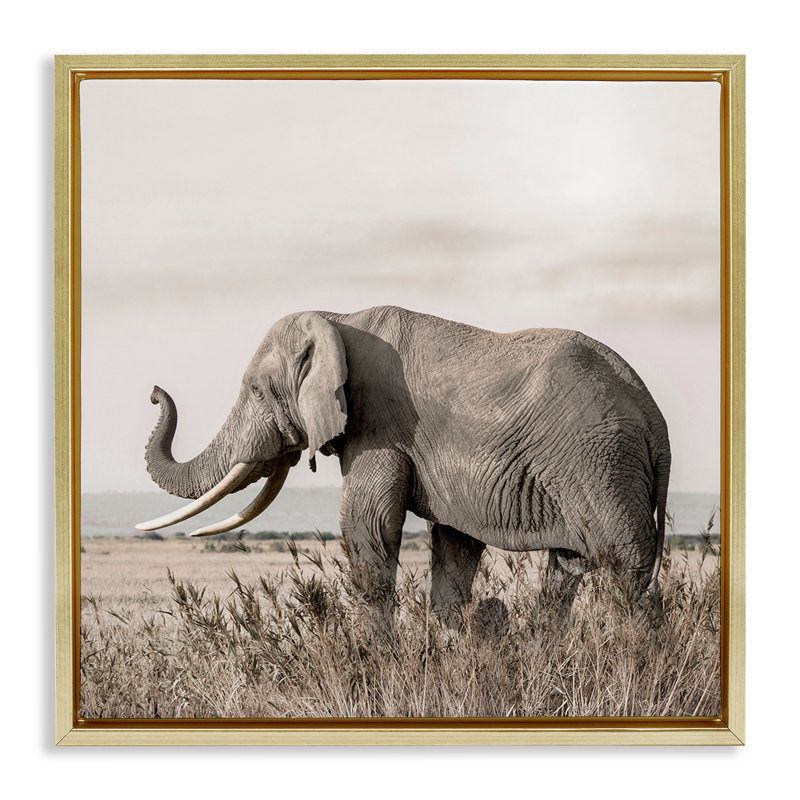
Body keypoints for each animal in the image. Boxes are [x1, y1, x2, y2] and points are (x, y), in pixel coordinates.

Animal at [137, 305, 670, 634]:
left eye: (255, 390)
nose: (154, 391)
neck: (339, 319)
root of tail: (655, 421)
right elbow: (455, 545)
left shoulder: (380, 424)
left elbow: (368, 527)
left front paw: (373, 663)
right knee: (567, 573)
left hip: (601, 464)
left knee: (625, 573)